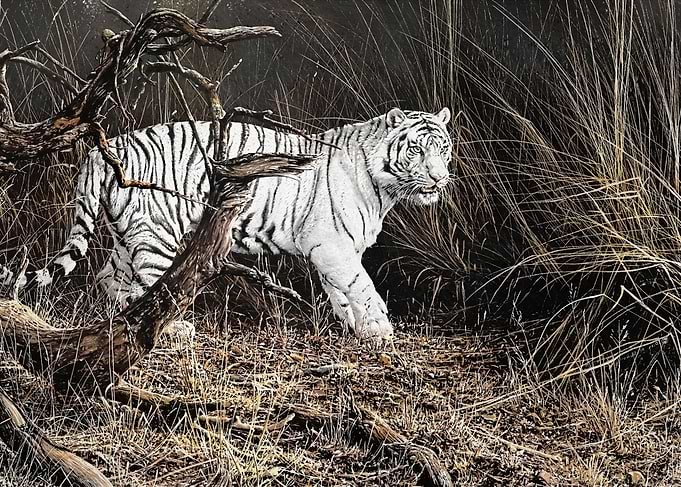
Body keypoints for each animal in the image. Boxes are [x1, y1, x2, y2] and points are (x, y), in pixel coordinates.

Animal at [1, 107, 453, 340]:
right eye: (416, 149)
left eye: (443, 148)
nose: (438, 177)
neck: (385, 189)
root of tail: (103, 149)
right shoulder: (330, 246)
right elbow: (362, 286)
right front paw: (381, 328)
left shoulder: (334, 253)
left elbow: (343, 293)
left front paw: (363, 331)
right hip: (156, 233)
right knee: (154, 283)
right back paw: (174, 328)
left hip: (128, 234)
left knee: (109, 278)